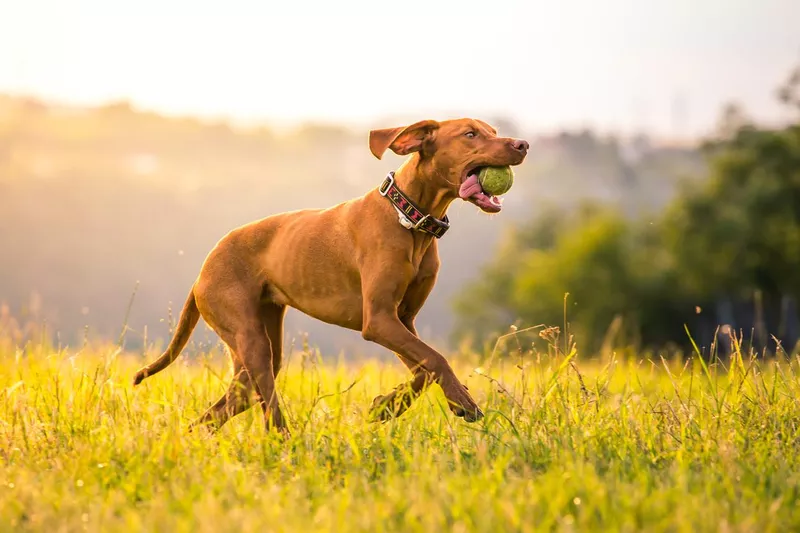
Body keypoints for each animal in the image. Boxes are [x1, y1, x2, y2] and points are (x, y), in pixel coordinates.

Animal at [134, 118, 528, 434]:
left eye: (494, 131)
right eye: (470, 134)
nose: (522, 144)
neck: (409, 217)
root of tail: (202, 269)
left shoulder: (402, 319)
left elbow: (425, 367)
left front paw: (389, 407)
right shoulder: (379, 320)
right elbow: (435, 359)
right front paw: (461, 401)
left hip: (261, 339)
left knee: (230, 402)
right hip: (250, 337)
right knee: (266, 408)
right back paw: (284, 444)